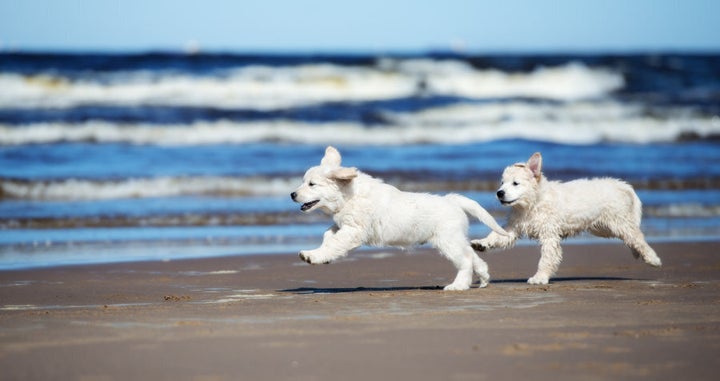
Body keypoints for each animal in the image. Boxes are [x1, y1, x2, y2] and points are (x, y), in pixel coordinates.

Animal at [290, 147, 510, 290]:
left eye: (311, 184)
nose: (292, 194)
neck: (348, 196)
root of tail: (452, 200)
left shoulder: (354, 231)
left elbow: (334, 244)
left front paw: (314, 256)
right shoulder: (346, 225)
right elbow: (328, 233)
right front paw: (320, 251)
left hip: (447, 241)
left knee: (465, 260)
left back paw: (458, 286)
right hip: (455, 239)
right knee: (472, 256)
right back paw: (483, 277)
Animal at [472, 153, 664, 284]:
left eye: (515, 183)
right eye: (502, 183)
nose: (499, 193)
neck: (531, 204)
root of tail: (618, 184)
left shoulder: (549, 235)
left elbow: (546, 258)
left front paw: (540, 277)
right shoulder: (513, 227)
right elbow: (497, 236)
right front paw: (481, 243)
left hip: (618, 222)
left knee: (637, 237)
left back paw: (652, 258)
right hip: (603, 228)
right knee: (632, 238)